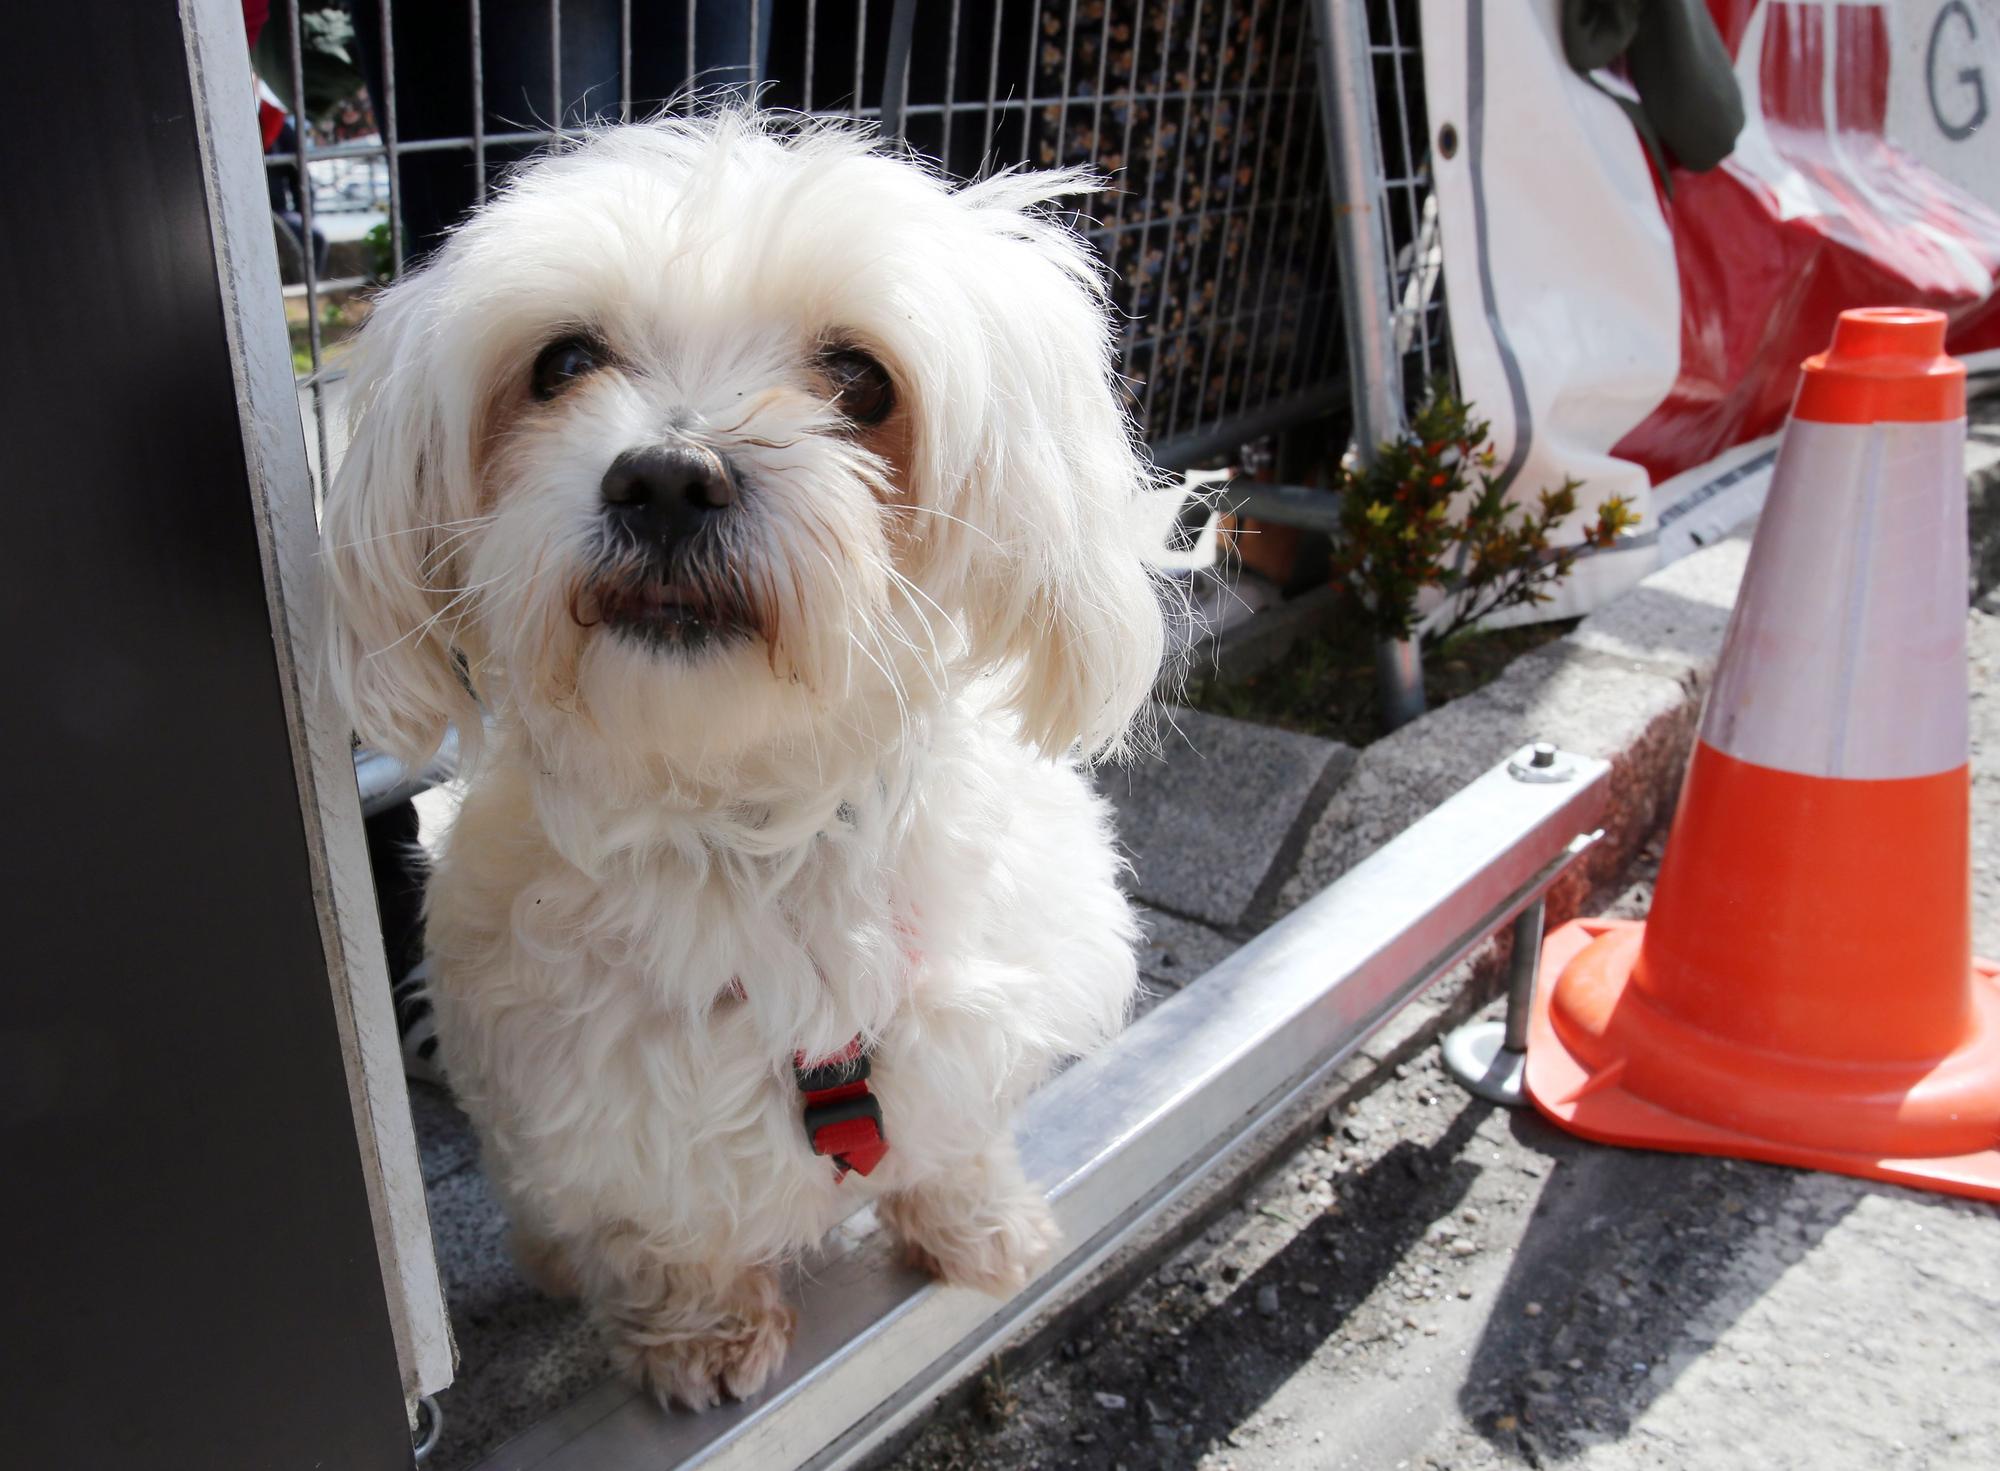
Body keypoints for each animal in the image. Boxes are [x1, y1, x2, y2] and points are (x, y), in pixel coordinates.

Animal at [322, 108, 1168, 1407]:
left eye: (861, 378)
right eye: (561, 362)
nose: (667, 476)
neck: (747, 827)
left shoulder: (968, 1019)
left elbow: (955, 1135)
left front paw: (978, 1226)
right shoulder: (596, 1112)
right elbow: (662, 1232)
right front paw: (701, 1335)